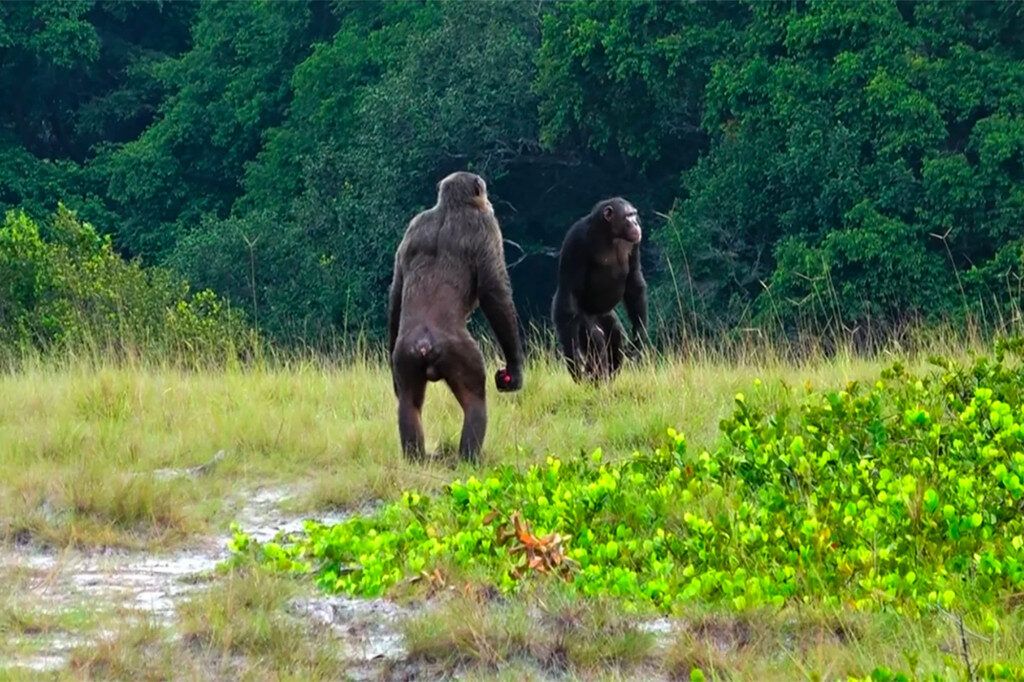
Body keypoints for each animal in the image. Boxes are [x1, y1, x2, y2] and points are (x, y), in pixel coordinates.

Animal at [388, 171, 524, 463]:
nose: (489, 200)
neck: (450, 208)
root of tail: (425, 344)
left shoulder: (413, 227)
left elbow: (396, 288)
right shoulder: (487, 226)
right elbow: (494, 291)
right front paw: (516, 369)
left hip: (405, 356)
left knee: (409, 403)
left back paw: (416, 456)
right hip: (460, 354)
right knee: (475, 401)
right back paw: (470, 457)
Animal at [551, 197, 648, 381]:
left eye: (634, 214)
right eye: (627, 216)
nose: (636, 223)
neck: (609, 234)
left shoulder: (635, 244)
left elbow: (633, 282)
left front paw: (639, 335)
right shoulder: (575, 240)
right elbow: (569, 290)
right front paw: (574, 358)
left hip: (607, 316)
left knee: (616, 337)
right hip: (582, 320)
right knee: (595, 340)